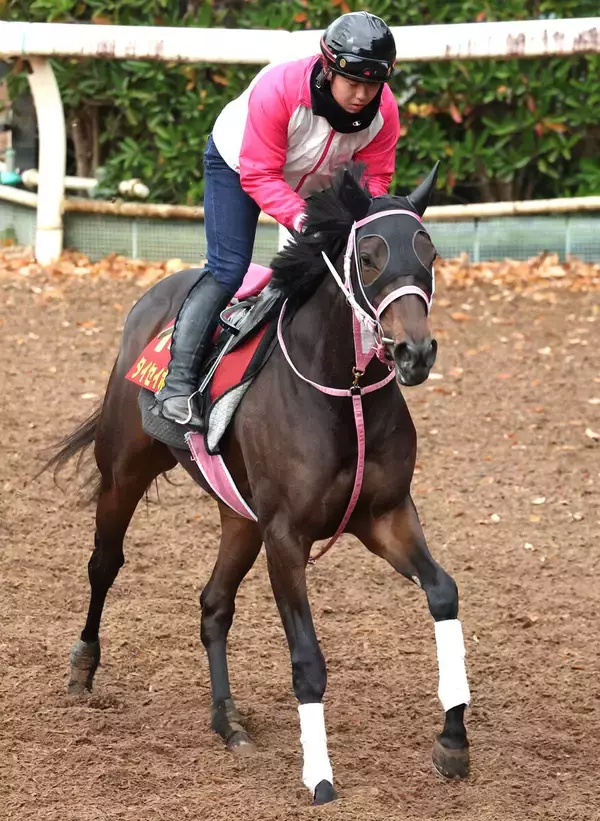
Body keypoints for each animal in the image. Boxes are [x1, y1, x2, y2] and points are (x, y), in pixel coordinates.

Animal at [44, 163, 470, 805]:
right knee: (104, 563)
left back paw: (227, 720)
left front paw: (453, 739)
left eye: (430, 252)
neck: (345, 392)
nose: (414, 352)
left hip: (240, 518)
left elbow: (443, 593)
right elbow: (308, 659)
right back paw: (83, 666)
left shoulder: (386, 516)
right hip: (123, 472)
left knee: (213, 605)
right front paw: (319, 776)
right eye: (369, 257)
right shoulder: (286, 536)